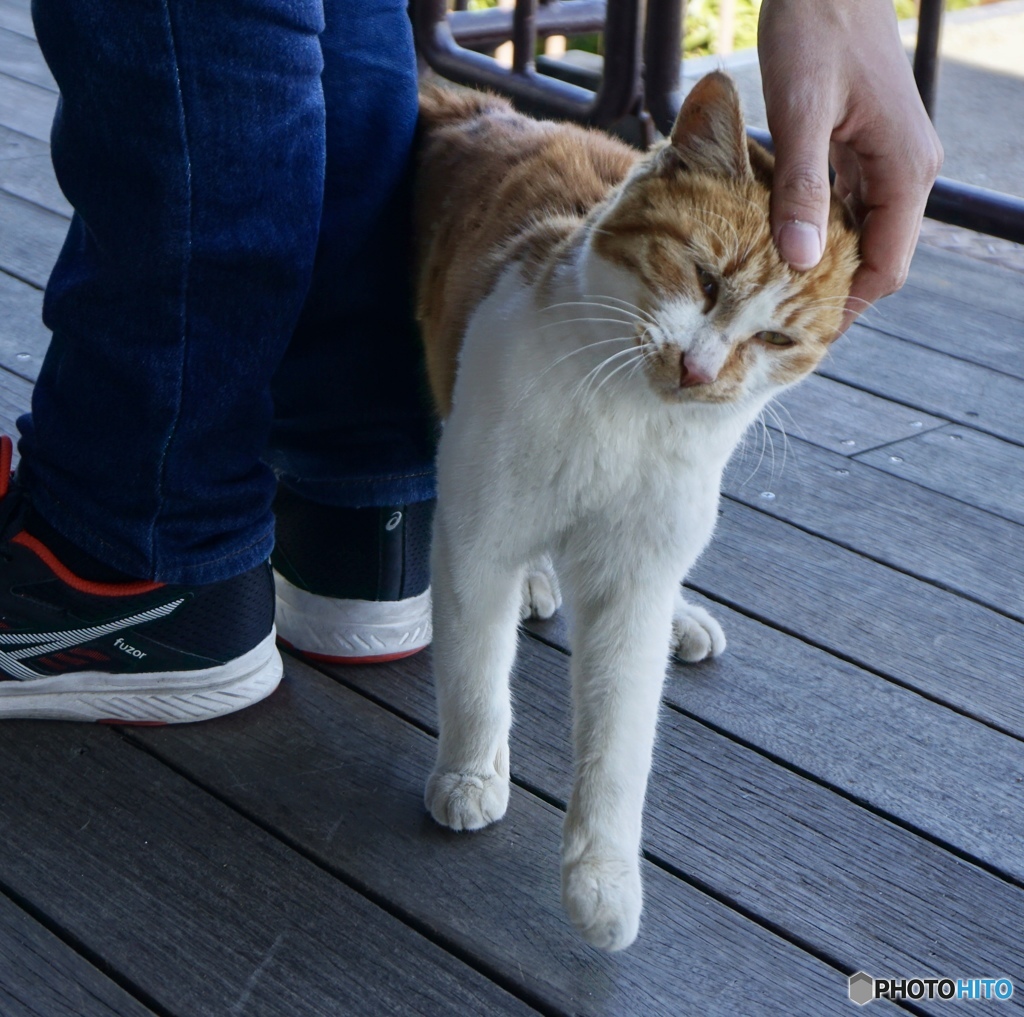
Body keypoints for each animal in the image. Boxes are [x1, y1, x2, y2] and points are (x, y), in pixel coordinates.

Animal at [413, 73, 856, 950]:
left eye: (778, 339)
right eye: (706, 279)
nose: (699, 368)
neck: (627, 418)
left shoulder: (631, 584)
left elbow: (619, 744)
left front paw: (603, 875)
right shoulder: (477, 536)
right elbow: (476, 676)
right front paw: (472, 771)